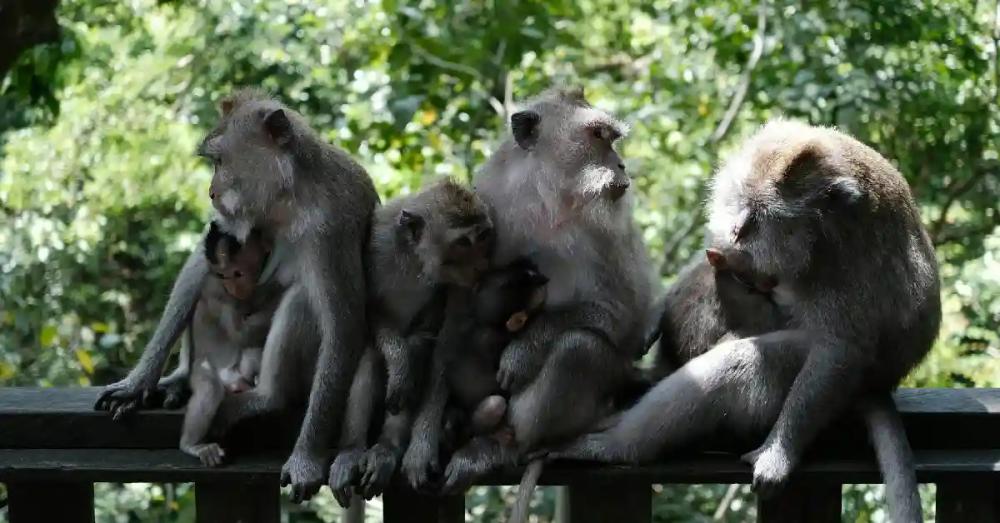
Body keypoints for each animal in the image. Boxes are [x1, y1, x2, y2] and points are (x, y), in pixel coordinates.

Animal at [178, 222, 280, 466]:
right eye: (224, 275)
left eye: (238, 273)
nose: (234, 287)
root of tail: (232, 382)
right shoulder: (219, 294)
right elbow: (240, 332)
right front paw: (277, 294)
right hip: (202, 370)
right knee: (210, 390)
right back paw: (191, 445)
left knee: (251, 354)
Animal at [429, 88, 657, 511]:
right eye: (598, 136)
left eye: (611, 137)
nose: (620, 163)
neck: (550, 201)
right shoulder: (491, 209)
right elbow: (460, 315)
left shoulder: (610, 232)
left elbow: (625, 314)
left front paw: (524, 351)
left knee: (578, 347)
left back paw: (513, 446)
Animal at [550, 120, 940, 523]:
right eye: (739, 199)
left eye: (758, 212)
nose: (737, 227)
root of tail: (879, 385)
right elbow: (717, 255)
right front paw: (655, 317)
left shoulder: (842, 258)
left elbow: (839, 352)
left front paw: (778, 454)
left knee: (744, 360)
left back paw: (619, 446)